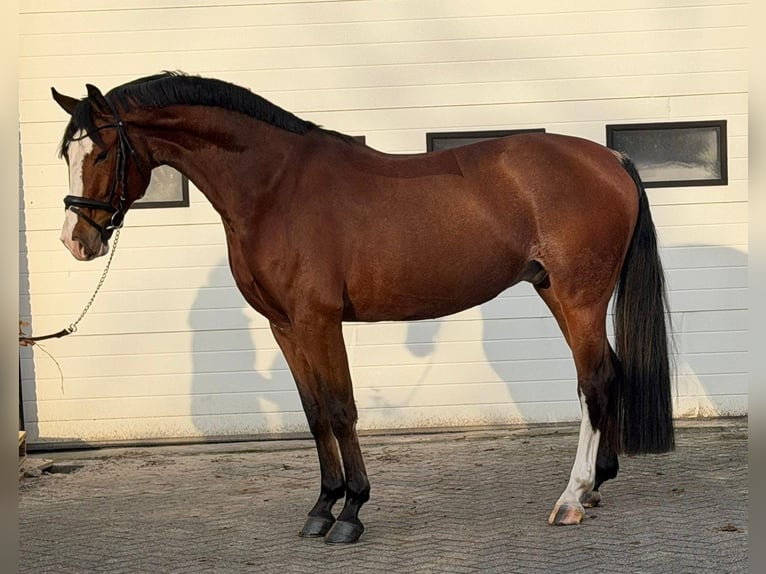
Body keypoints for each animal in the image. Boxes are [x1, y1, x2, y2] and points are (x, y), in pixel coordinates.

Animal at [51, 71, 674, 544]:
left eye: (102, 151)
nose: (76, 241)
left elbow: (341, 409)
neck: (274, 187)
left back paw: (571, 497)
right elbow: (313, 414)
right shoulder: (284, 327)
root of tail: (610, 156)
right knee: (608, 372)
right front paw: (321, 508)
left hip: (579, 296)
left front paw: (350, 513)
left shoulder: (318, 321)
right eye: (66, 153)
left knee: (594, 381)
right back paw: (597, 484)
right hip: (556, 292)